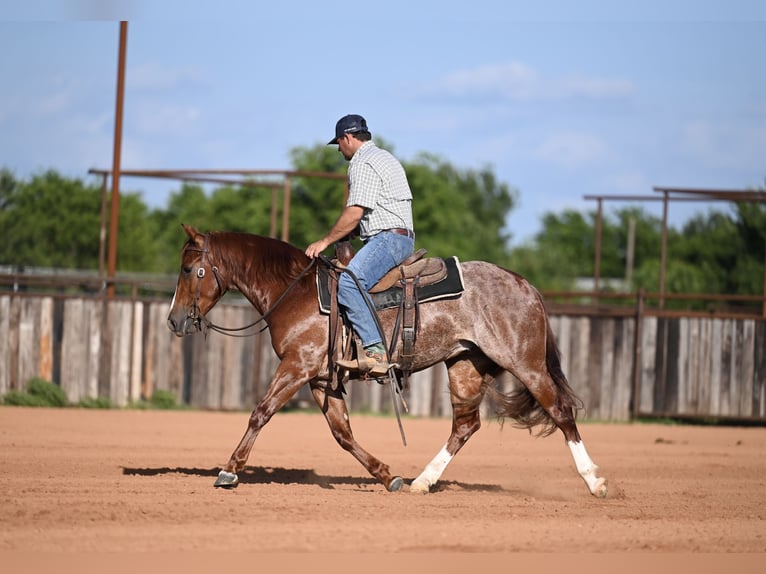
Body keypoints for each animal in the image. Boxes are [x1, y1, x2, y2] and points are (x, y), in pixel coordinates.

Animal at [166, 224, 608, 498]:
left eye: (189, 269)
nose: (173, 320)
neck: (293, 290)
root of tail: (525, 284)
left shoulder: (298, 366)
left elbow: (261, 412)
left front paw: (229, 471)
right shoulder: (321, 379)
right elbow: (342, 433)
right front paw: (388, 476)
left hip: (525, 363)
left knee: (561, 410)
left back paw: (594, 482)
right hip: (466, 365)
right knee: (466, 426)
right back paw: (422, 482)